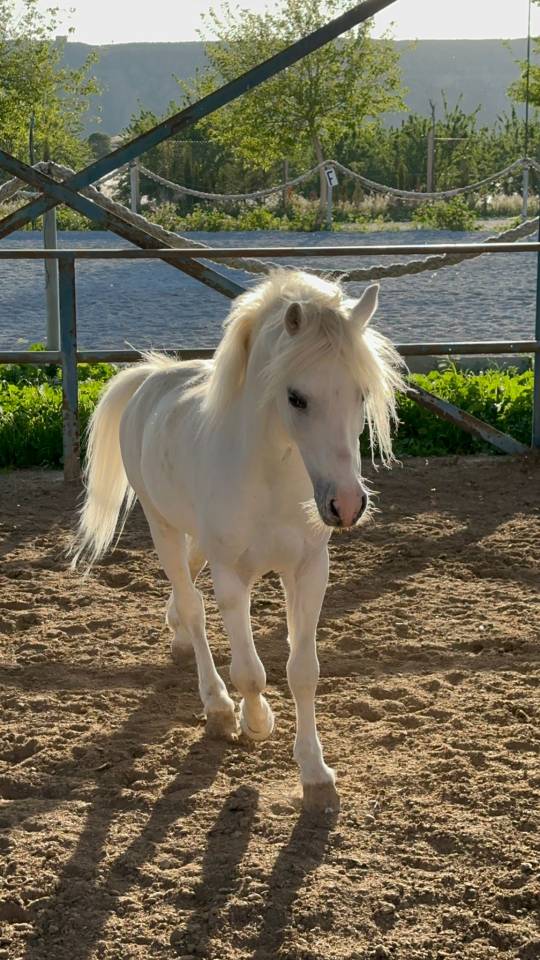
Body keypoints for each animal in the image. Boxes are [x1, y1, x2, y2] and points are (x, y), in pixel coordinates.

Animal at [72, 269, 405, 812]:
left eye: (360, 394)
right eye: (296, 397)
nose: (346, 503)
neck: (270, 475)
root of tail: (150, 377)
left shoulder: (309, 570)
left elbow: (302, 670)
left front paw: (315, 771)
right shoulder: (233, 577)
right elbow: (250, 670)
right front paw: (256, 721)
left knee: (187, 594)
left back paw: (178, 638)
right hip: (162, 526)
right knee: (193, 607)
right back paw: (219, 708)